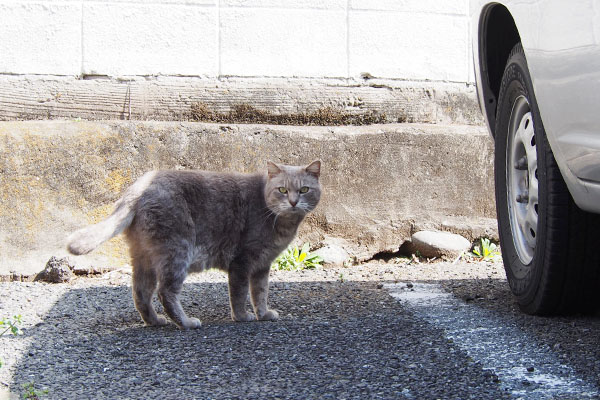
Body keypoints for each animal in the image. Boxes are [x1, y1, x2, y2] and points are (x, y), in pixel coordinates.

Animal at [67, 161, 322, 330]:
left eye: (304, 190)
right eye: (282, 190)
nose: (293, 202)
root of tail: (135, 189)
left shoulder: (262, 265)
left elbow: (260, 292)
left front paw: (263, 314)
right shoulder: (242, 262)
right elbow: (240, 294)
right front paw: (242, 316)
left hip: (144, 257)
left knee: (141, 293)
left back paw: (155, 321)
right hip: (177, 251)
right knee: (165, 292)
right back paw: (186, 322)